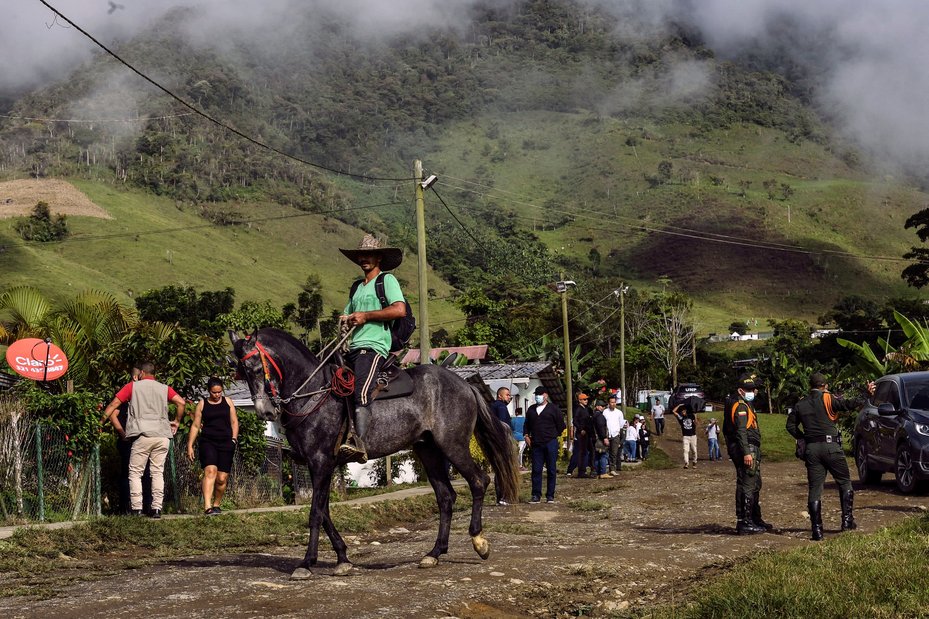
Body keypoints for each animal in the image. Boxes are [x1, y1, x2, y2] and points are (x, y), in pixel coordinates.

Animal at [230, 332, 520, 580]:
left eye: (257, 368)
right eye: (241, 372)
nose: (265, 412)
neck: (312, 393)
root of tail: (465, 385)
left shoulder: (321, 462)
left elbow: (315, 513)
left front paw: (306, 563)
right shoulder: (320, 466)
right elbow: (324, 512)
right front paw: (343, 559)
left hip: (453, 446)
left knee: (479, 481)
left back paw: (479, 541)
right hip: (428, 451)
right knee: (446, 497)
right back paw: (435, 553)